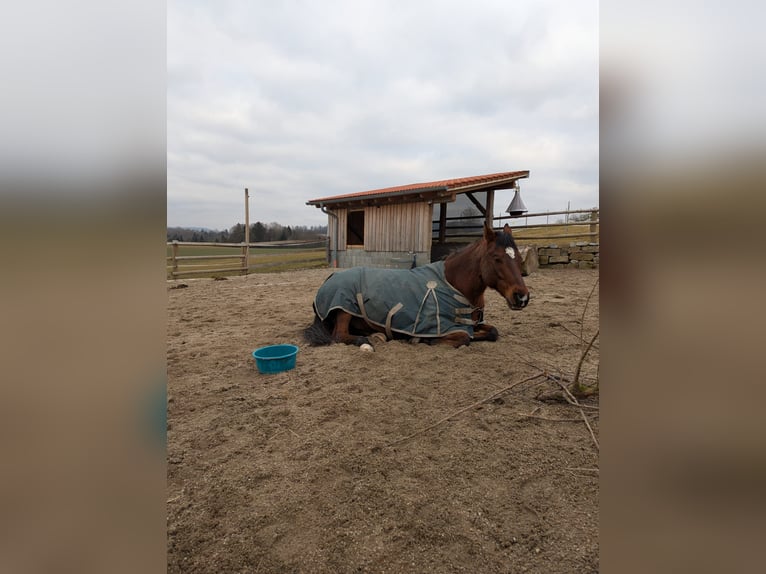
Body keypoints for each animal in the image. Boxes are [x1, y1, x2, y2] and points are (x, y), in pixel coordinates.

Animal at [304, 223, 529, 349]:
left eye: (518, 258)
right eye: (496, 258)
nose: (522, 297)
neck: (454, 284)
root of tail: (330, 277)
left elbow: (492, 332)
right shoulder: (444, 329)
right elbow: (465, 337)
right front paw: (422, 340)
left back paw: (376, 335)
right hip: (344, 309)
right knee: (339, 335)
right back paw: (367, 340)